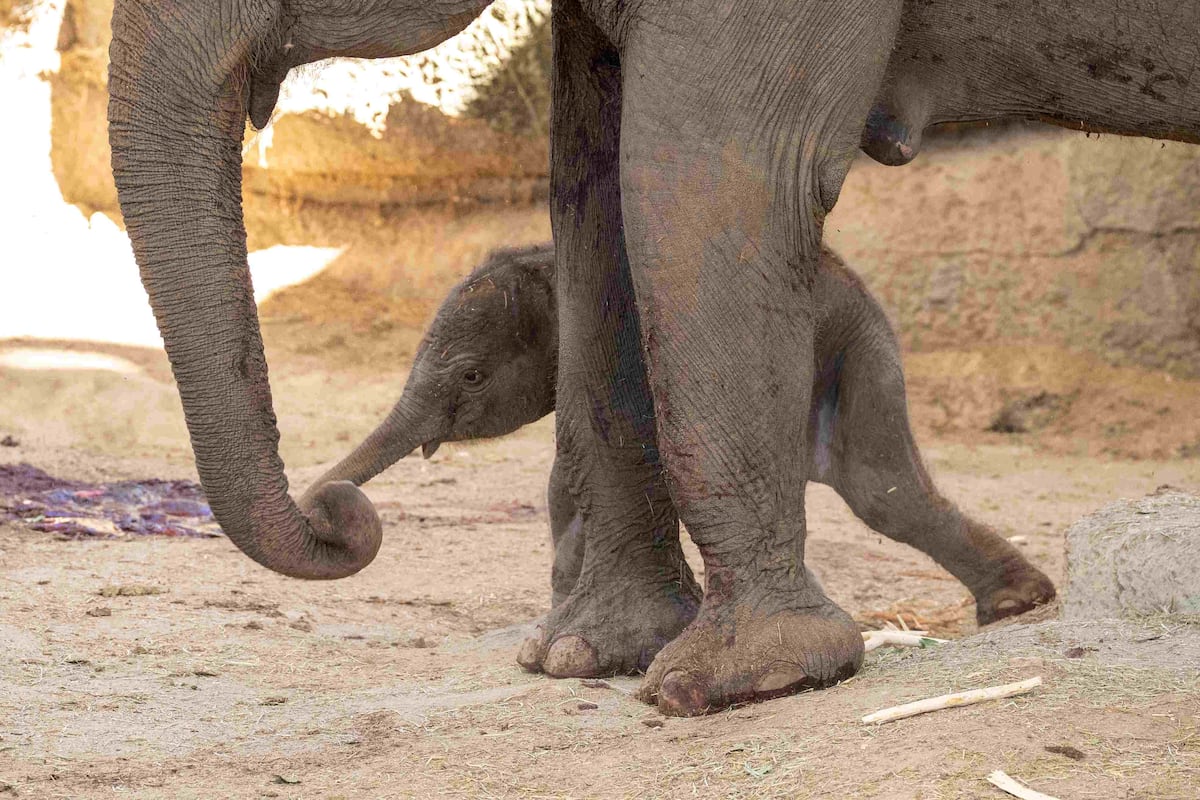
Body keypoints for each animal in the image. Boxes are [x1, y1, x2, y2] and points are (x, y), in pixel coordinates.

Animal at [304, 242, 1055, 632]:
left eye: (471, 374)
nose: (330, 508)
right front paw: (568, 610)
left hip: (853, 347)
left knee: (879, 490)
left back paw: (1016, 604)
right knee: (884, 491)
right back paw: (1016, 603)